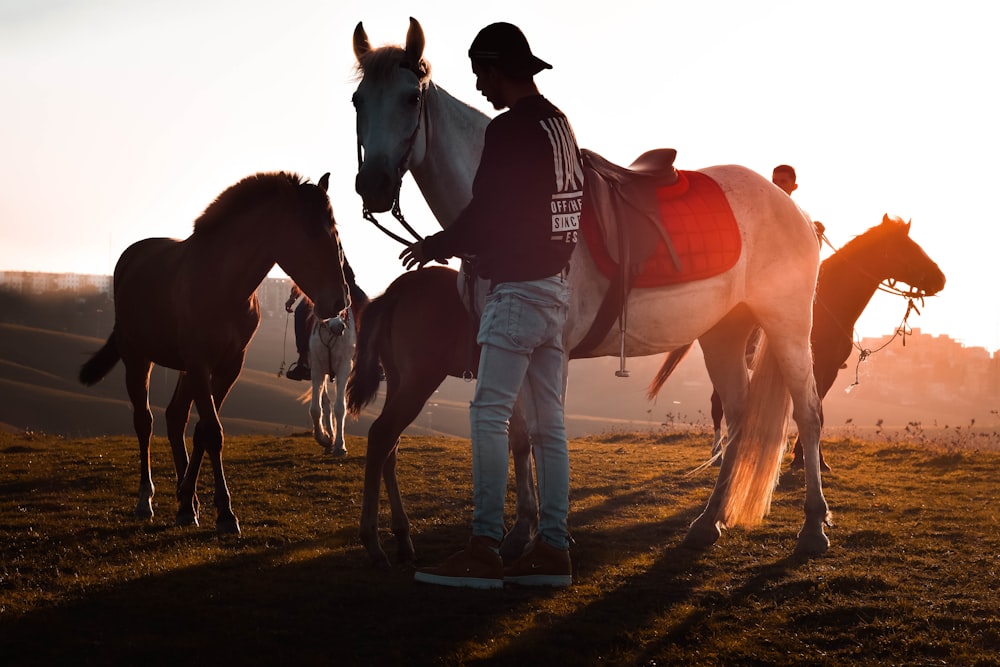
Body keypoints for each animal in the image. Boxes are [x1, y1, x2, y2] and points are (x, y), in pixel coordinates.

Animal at [77, 174, 348, 536]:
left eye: (335, 233)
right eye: (311, 233)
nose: (339, 301)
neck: (223, 285)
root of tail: (130, 259)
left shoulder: (228, 366)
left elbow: (203, 432)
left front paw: (194, 504)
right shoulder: (199, 363)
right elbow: (213, 432)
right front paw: (225, 513)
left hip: (183, 370)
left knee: (175, 417)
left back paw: (186, 500)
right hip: (138, 359)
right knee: (145, 422)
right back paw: (145, 500)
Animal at [302, 310, 358, 456]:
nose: (338, 327)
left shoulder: (344, 368)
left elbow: (340, 408)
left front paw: (340, 446)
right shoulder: (317, 368)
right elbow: (315, 409)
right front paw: (324, 439)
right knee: (325, 402)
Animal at [352, 18, 828, 560]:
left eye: (411, 97)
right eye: (358, 101)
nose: (373, 185)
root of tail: (792, 209)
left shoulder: (550, 349)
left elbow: (541, 434)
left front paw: (545, 535)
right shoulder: (504, 348)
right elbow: (519, 436)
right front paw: (521, 530)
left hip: (788, 325)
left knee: (808, 415)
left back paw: (813, 527)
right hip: (723, 334)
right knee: (741, 418)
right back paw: (709, 521)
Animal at [648, 214, 944, 470]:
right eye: (909, 248)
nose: (941, 279)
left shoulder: (828, 370)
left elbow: (817, 412)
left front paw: (811, 459)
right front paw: (803, 459)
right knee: (716, 406)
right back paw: (718, 454)